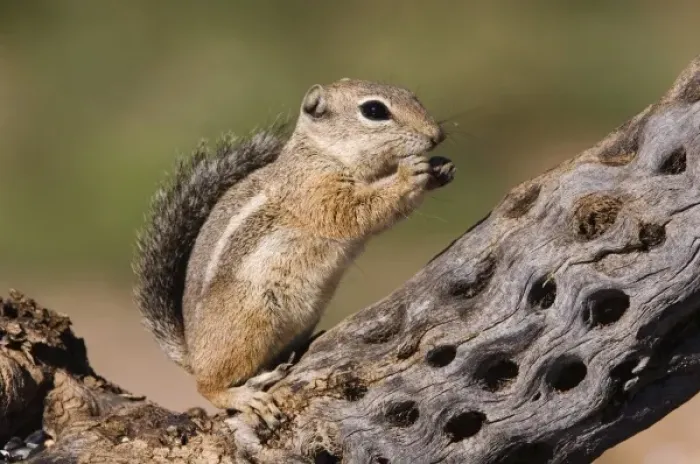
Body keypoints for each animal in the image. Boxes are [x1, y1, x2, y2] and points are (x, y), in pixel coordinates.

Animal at [132, 78, 455, 431]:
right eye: (374, 110)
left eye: (412, 95)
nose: (436, 135)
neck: (322, 152)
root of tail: (192, 352)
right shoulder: (316, 191)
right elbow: (358, 212)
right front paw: (409, 174)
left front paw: (441, 168)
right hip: (248, 323)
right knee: (207, 385)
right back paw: (244, 397)